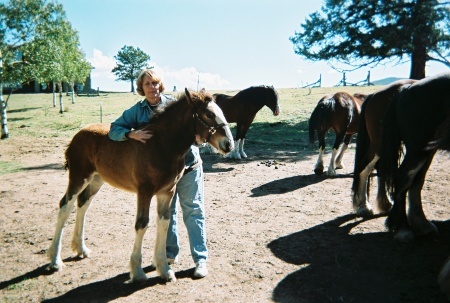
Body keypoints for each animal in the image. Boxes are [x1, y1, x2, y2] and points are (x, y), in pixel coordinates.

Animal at [47, 89, 234, 284]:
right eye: (208, 114)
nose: (229, 144)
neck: (161, 145)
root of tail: (77, 136)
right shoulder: (144, 191)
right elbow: (142, 224)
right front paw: (137, 271)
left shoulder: (167, 192)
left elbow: (164, 222)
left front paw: (164, 269)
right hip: (78, 177)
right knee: (65, 205)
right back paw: (55, 260)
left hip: (96, 179)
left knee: (83, 204)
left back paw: (81, 249)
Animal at [352, 79, 418, 217]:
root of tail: (373, 95)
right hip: (379, 144)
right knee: (365, 167)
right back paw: (364, 206)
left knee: (381, 167)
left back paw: (384, 203)